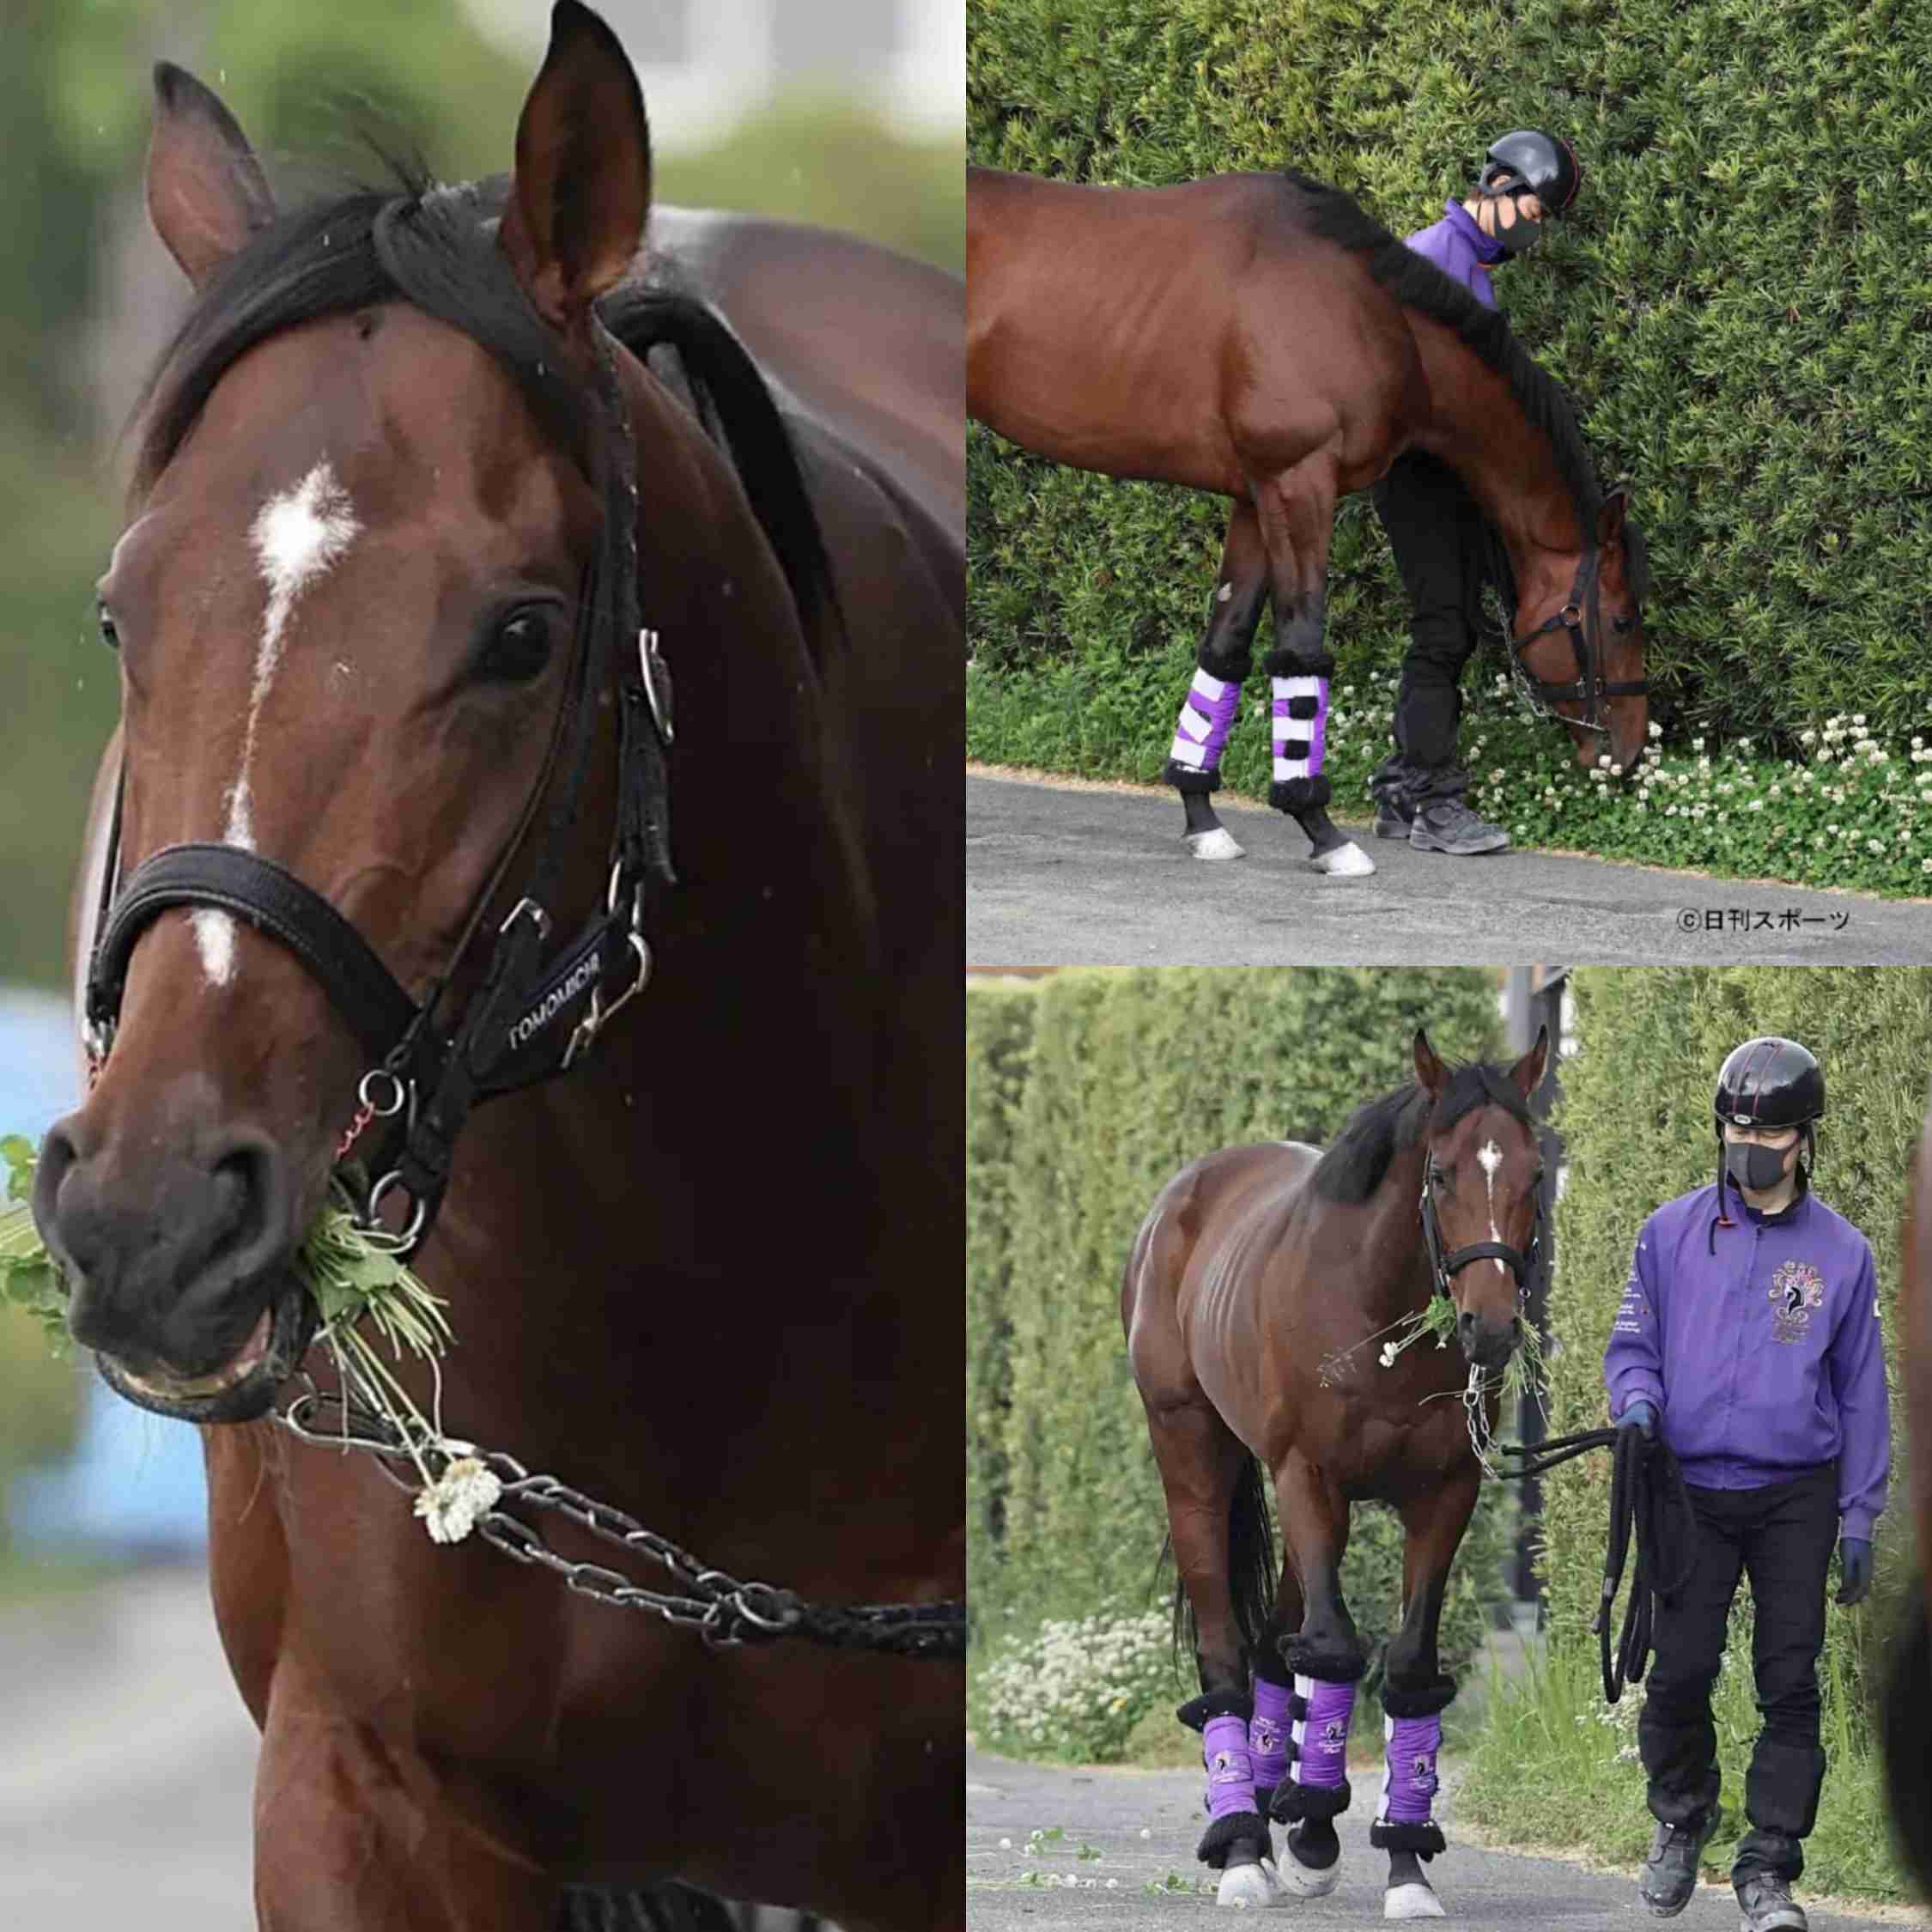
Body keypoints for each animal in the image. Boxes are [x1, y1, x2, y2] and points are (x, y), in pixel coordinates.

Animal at [967, 165, 1650, 877]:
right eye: (1623, 620)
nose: (1627, 753)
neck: (1375, 317)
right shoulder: (1300, 484)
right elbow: (1299, 652)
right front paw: (1321, 827)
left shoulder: (1255, 496)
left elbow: (1225, 647)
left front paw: (1202, 816)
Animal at [1122, 1026, 1547, 1918]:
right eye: (1440, 1172)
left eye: (1534, 1173)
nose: (1490, 1327)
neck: (1375, 1307)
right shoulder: (1309, 1479)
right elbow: (1334, 1646)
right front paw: (1314, 1826)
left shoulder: (1443, 1496)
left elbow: (1405, 1664)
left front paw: (1404, 1861)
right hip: (1193, 1454)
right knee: (1227, 1650)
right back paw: (1242, 1844)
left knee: (1271, 1648)